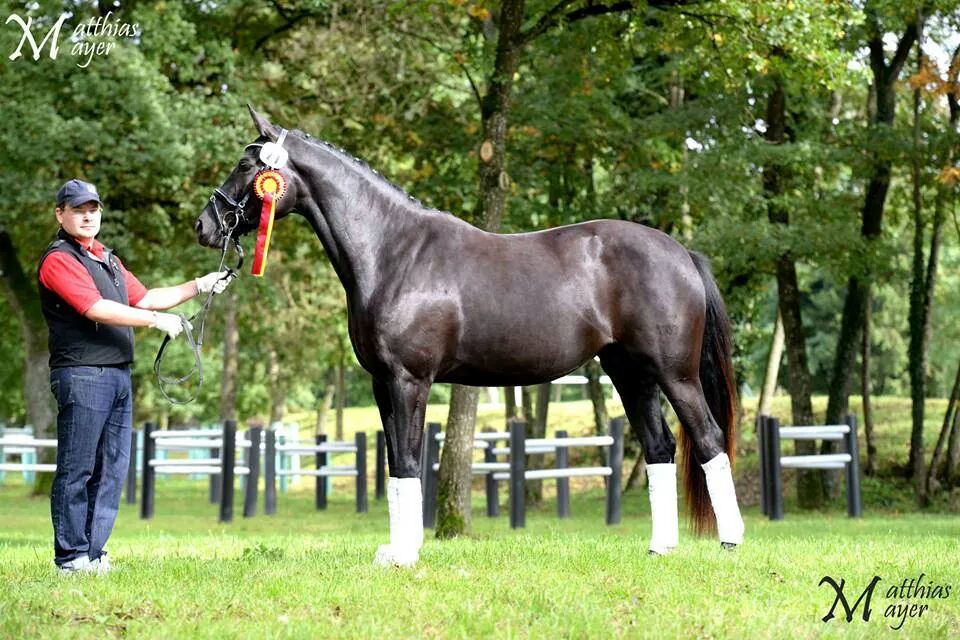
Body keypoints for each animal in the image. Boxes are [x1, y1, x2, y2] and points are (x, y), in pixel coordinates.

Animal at [195, 107, 745, 566]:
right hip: (632, 375)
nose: (204, 226)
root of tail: (681, 253)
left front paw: (405, 555)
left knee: (709, 439)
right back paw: (660, 548)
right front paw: (394, 551)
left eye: (246, 166)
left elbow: (410, 460)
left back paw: (730, 542)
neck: (395, 252)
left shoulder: (409, 380)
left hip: (676, 375)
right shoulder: (381, 384)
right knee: (659, 447)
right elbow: (395, 463)